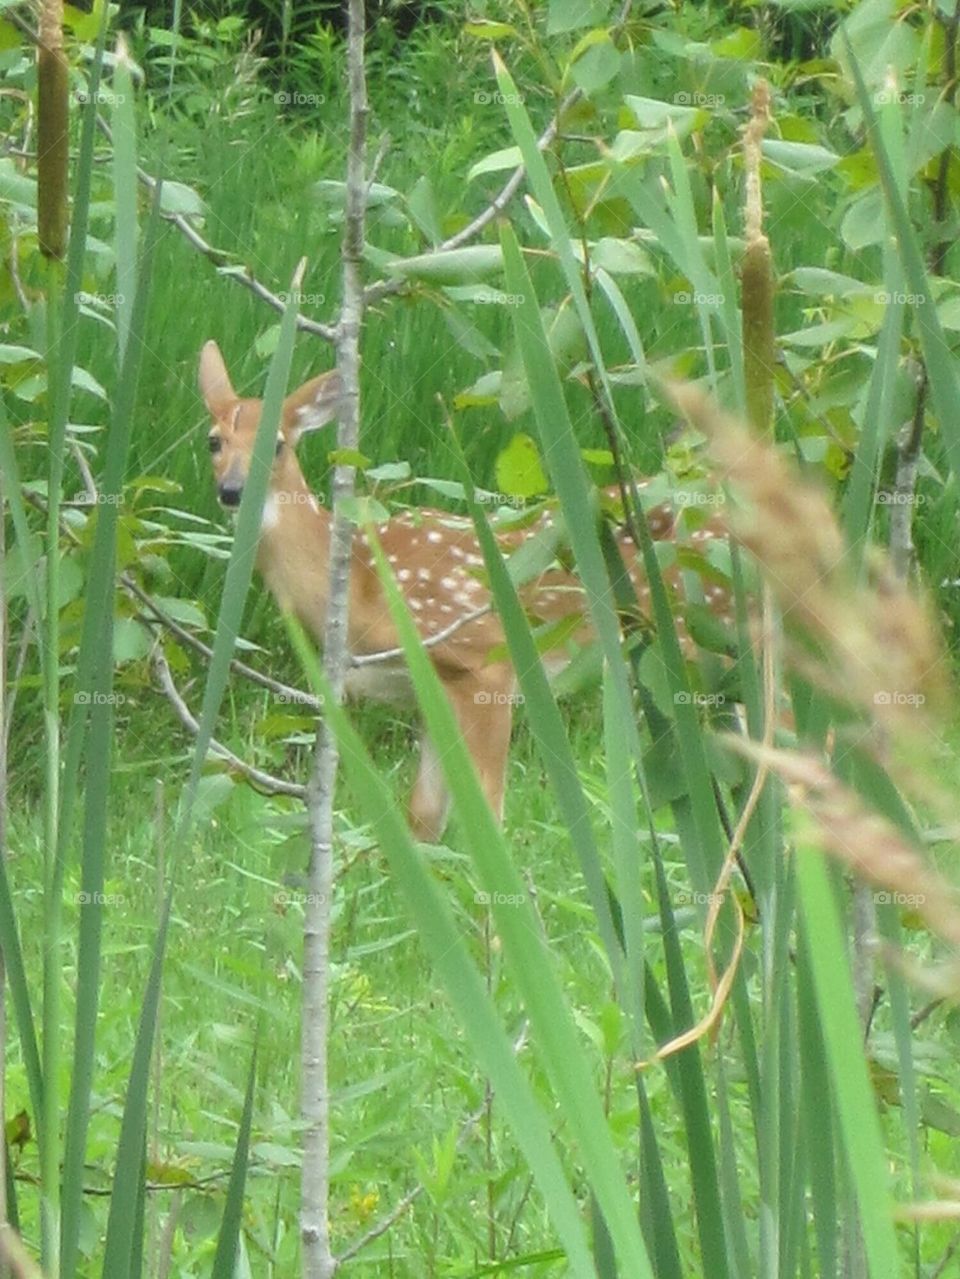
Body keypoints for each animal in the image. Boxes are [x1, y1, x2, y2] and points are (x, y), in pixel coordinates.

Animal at [199, 341, 732, 841]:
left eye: (277, 445)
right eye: (213, 442)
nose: (231, 491)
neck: (363, 586)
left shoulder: (485, 663)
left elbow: (487, 809)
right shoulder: (427, 688)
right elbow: (424, 816)